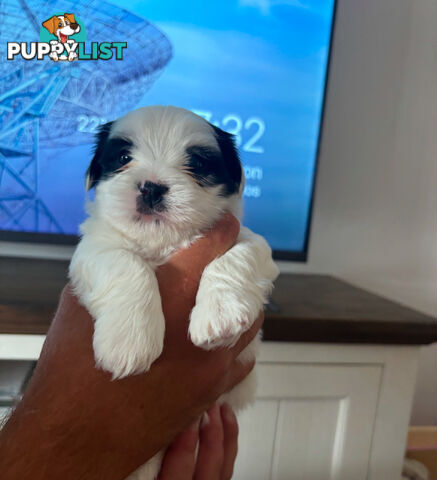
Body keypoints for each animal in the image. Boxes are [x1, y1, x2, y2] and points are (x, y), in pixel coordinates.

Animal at [68, 106, 280, 480]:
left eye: (196, 163)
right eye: (123, 158)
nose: (152, 187)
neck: (162, 242)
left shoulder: (250, 241)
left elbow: (240, 256)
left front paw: (220, 315)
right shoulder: (94, 247)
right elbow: (125, 263)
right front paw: (129, 341)